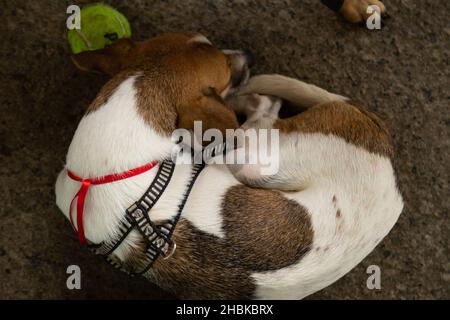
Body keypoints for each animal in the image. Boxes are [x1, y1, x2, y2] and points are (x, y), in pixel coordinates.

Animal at [54, 31, 402, 298]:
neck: (102, 174)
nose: (248, 55)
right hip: (255, 157)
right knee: (267, 105)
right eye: (224, 69)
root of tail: (383, 142)